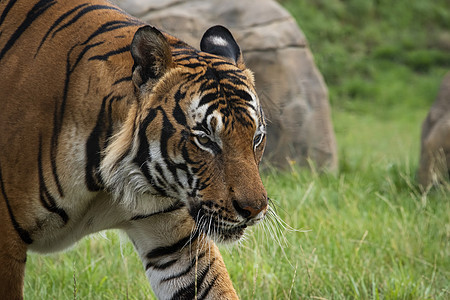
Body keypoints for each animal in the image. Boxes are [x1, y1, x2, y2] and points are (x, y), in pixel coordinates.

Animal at [0, 0, 268, 298]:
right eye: (205, 139)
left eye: (257, 138)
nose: (254, 209)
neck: (113, 181)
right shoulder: (5, 242)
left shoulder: (176, 243)